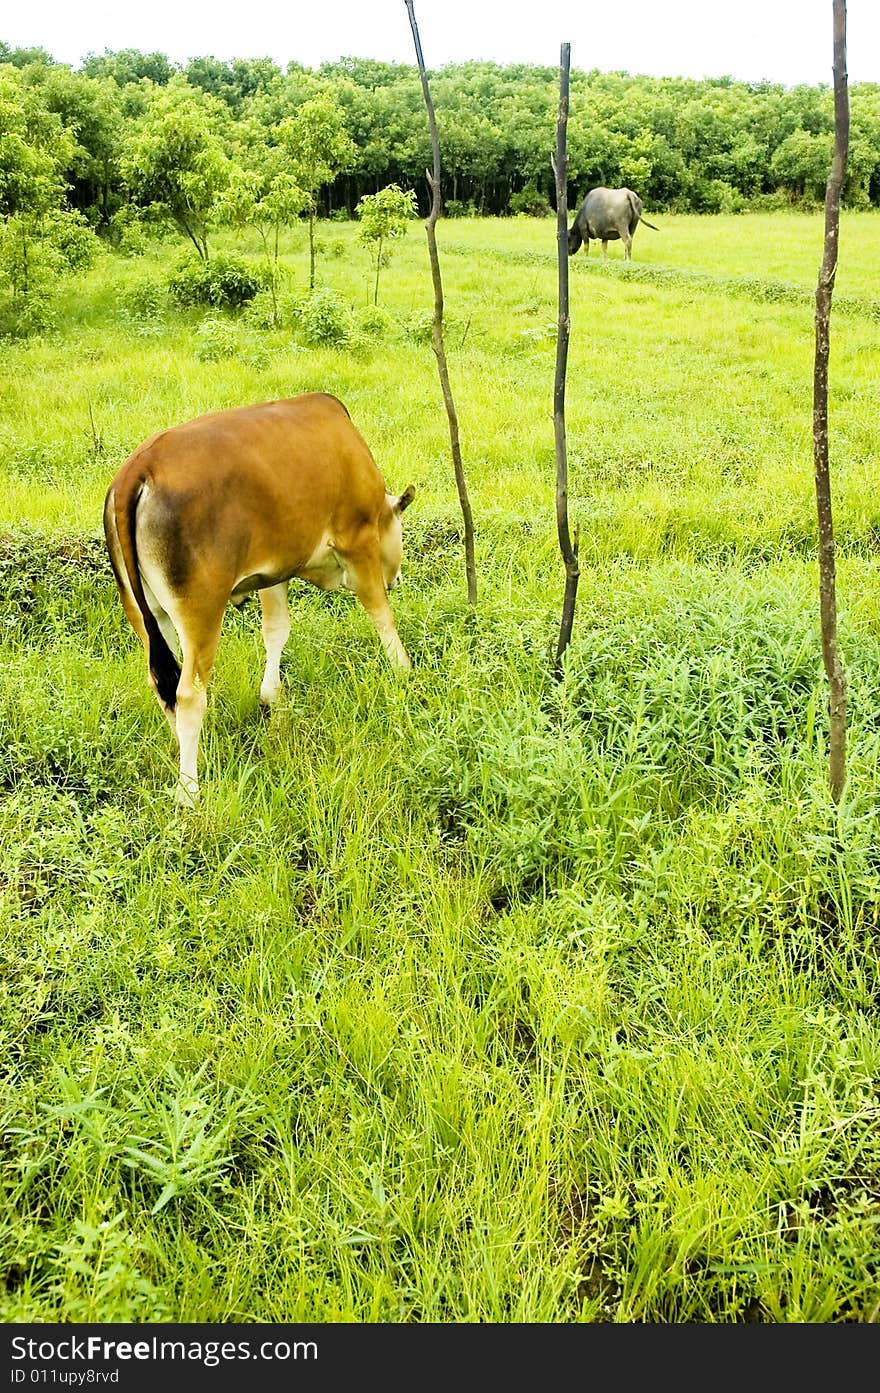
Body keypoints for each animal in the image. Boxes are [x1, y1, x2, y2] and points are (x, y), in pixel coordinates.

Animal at [103, 392, 414, 807]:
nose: (396, 577)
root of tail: (137, 469)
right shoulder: (357, 538)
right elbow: (381, 614)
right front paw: (403, 669)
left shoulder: (272, 572)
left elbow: (276, 630)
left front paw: (272, 697)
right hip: (202, 610)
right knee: (188, 693)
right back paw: (188, 788)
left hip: (146, 614)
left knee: (162, 683)